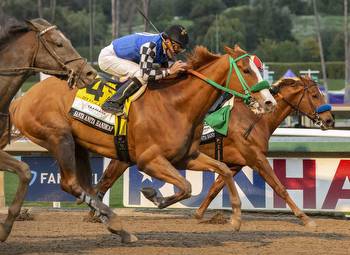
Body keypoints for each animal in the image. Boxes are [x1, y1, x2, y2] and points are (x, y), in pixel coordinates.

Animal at [7, 45, 276, 243]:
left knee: (88, 187)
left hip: (78, 145)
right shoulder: (149, 160)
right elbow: (187, 186)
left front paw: (236, 219)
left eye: (259, 68)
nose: (270, 102)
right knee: (71, 183)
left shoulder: (187, 157)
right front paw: (152, 194)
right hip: (59, 138)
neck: (177, 104)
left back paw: (111, 222)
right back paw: (114, 223)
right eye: (247, 69)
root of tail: (21, 100)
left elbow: (222, 172)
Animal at [93, 75, 334, 227]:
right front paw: (305, 218)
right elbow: (279, 187)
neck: (255, 117)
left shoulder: (236, 163)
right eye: (315, 95)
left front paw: (200, 214)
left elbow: (215, 187)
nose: (330, 120)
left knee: (104, 181)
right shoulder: (255, 158)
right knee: (105, 181)